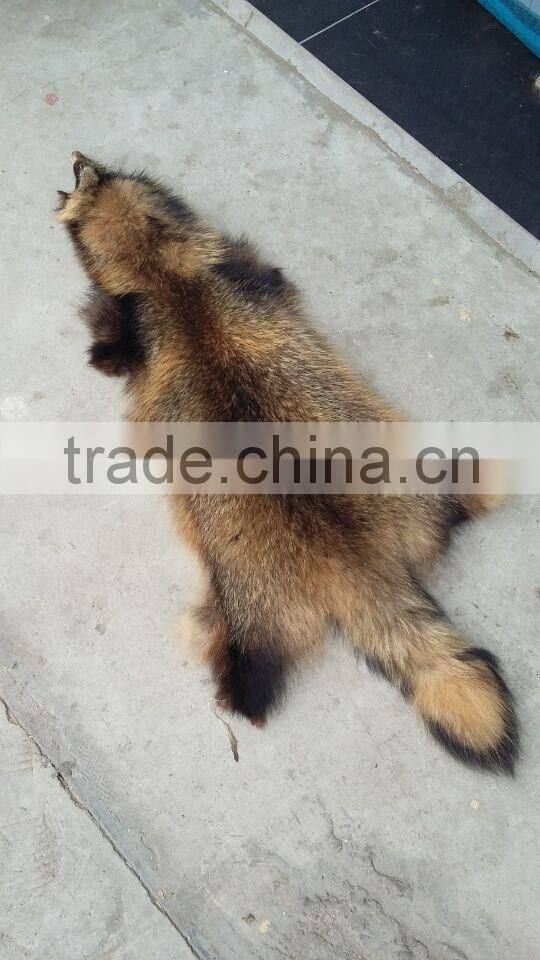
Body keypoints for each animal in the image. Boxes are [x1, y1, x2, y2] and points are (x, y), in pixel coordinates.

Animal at [57, 152, 518, 774]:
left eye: (100, 172)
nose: (78, 156)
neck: (166, 275)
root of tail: (356, 560)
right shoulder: (238, 281)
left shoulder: (160, 317)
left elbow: (113, 346)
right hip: (412, 486)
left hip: (250, 601)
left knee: (246, 655)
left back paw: (238, 689)